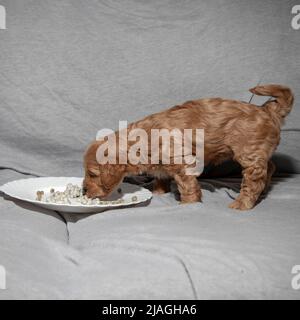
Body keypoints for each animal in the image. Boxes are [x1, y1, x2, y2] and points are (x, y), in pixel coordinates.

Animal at [83, 85, 294, 210]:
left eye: (92, 174)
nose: (84, 191)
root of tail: (266, 109)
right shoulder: (162, 163)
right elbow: (161, 177)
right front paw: (158, 192)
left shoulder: (182, 162)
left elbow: (188, 186)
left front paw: (188, 203)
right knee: (270, 167)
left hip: (249, 153)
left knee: (254, 180)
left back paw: (242, 203)